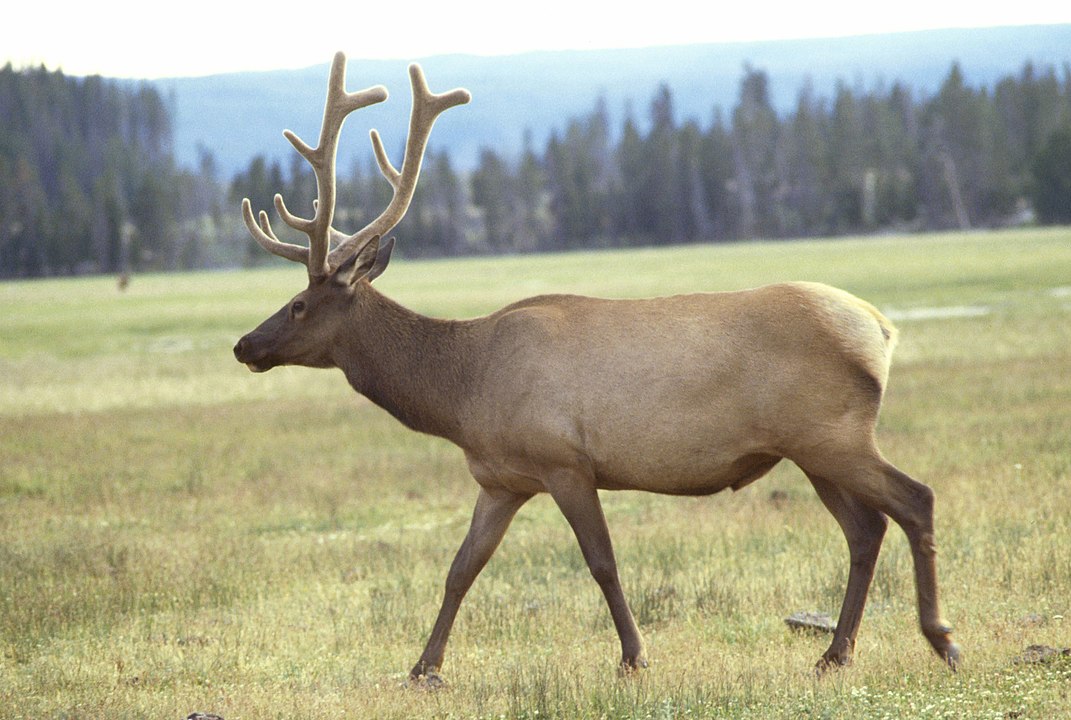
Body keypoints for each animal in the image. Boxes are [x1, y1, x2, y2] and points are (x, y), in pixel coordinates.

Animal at [234, 51, 963, 681]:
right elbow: (460, 569)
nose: (244, 345)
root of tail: (882, 328)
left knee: (914, 499)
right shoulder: (501, 479)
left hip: (832, 433)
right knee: (865, 529)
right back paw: (834, 654)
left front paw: (634, 656)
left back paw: (941, 639)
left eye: (298, 305)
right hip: (810, 448)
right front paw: (423, 667)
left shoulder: (565, 461)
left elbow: (602, 562)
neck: (462, 395)